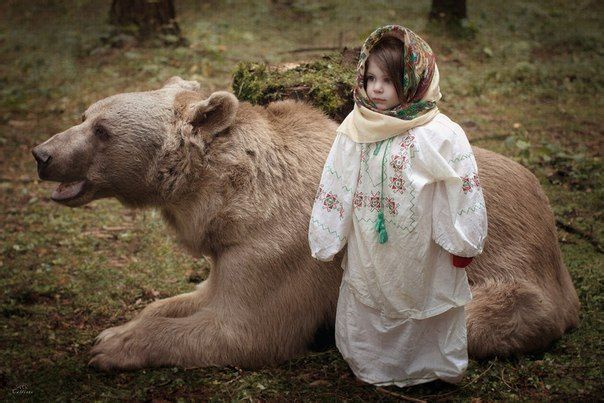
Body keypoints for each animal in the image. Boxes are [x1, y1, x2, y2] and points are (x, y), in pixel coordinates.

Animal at [30, 77, 580, 370]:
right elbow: (197, 297)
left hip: (500, 272)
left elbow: (243, 330)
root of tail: (551, 227)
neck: (235, 197)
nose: (42, 154)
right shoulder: (233, 250)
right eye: (86, 114)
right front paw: (118, 328)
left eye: (101, 130)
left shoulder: (285, 249)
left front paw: (114, 347)